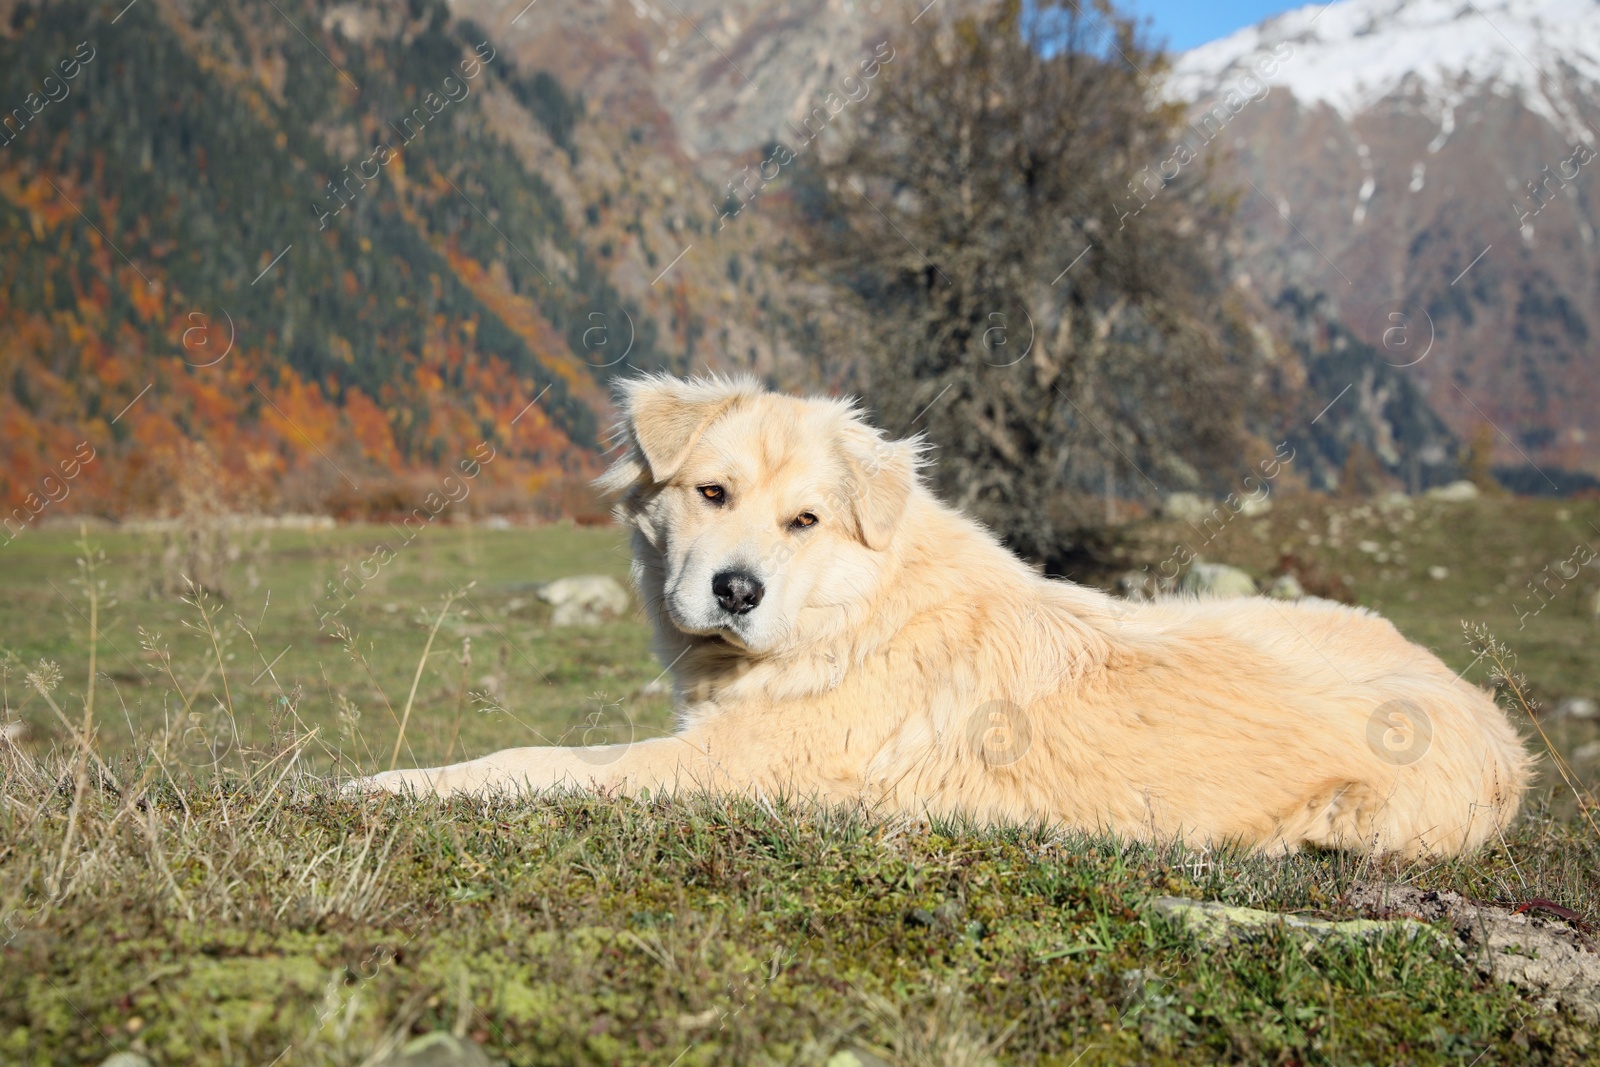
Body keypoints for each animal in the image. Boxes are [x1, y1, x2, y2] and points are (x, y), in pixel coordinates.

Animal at [356, 377, 1529, 857]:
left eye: (805, 519)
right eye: (711, 493)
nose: (737, 590)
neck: (848, 616)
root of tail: (1496, 721)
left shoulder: (718, 769)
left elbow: (531, 758)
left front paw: (385, 782)